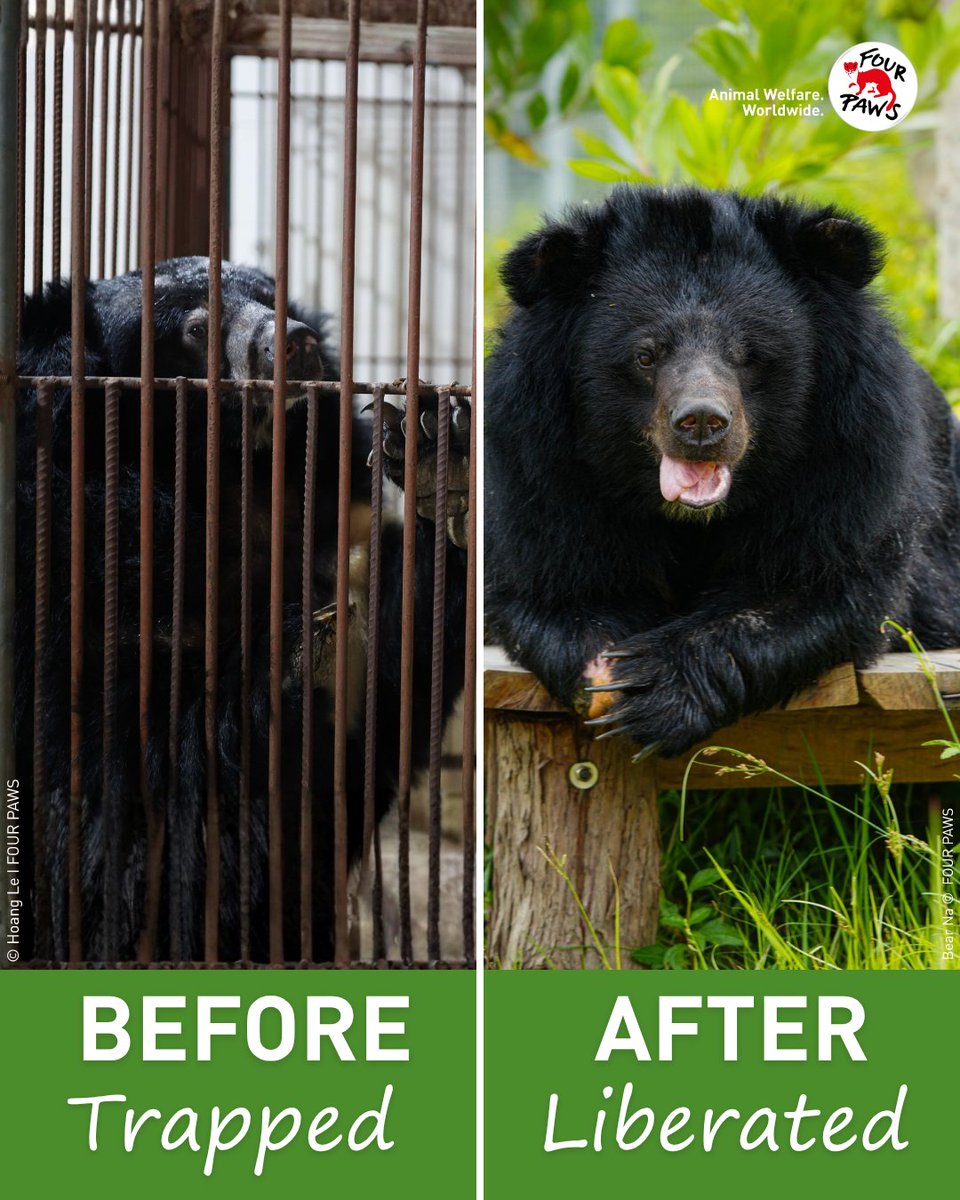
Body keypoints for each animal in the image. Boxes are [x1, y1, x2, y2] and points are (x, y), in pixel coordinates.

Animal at [15, 258, 470, 963]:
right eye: (196, 329)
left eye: (271, 299)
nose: (297, 343)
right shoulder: (64, 559)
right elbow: (140, 767)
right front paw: (297, 661)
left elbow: (389, 700)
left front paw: (435, 463)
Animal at [485, 185, 960, 759]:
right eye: (646, 356)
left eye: (748, 355)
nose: (701, 421)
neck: (693, 517)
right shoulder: (537, 467)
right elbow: (557, 584)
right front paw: (605, 674)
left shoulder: (852, 462)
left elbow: (816, 586)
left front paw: (654, 688)